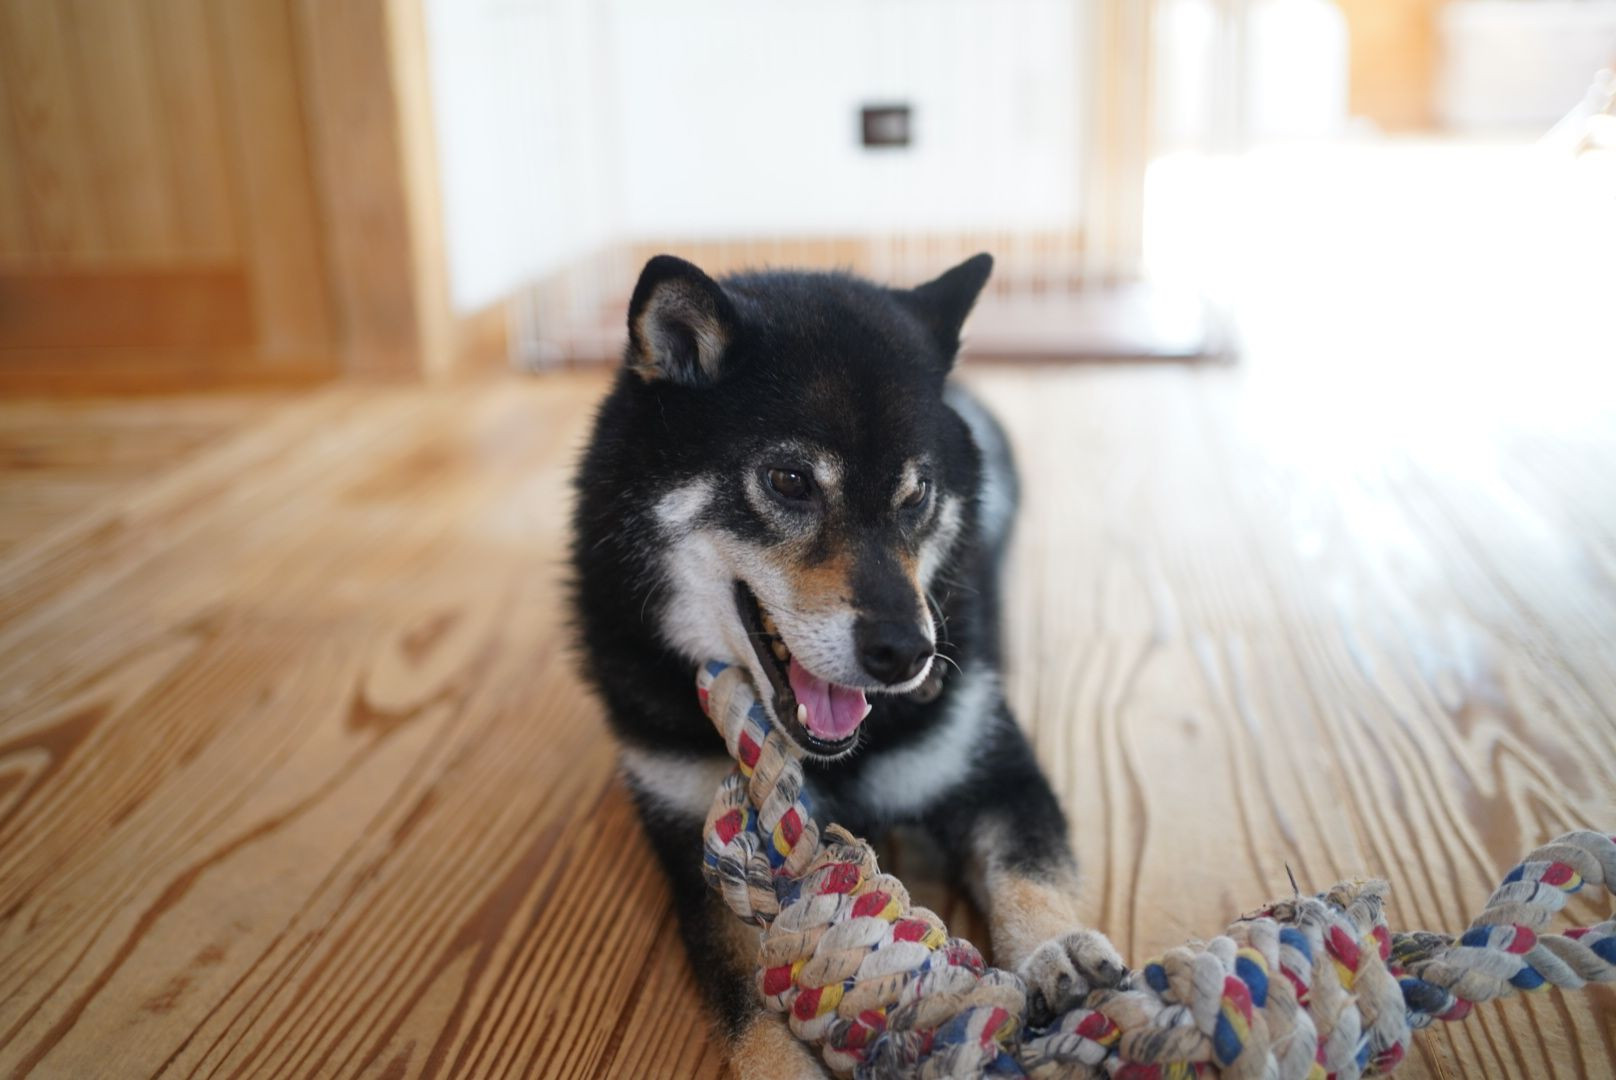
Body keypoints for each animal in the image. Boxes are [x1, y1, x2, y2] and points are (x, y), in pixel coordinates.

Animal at [570, 253, 1125, 1077]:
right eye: (790, 481)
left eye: (917, 491)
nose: (908, 653)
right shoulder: (699, 854)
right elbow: (748, 1006)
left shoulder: (993, 765)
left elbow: (1031, 870)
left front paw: (1056, 948)